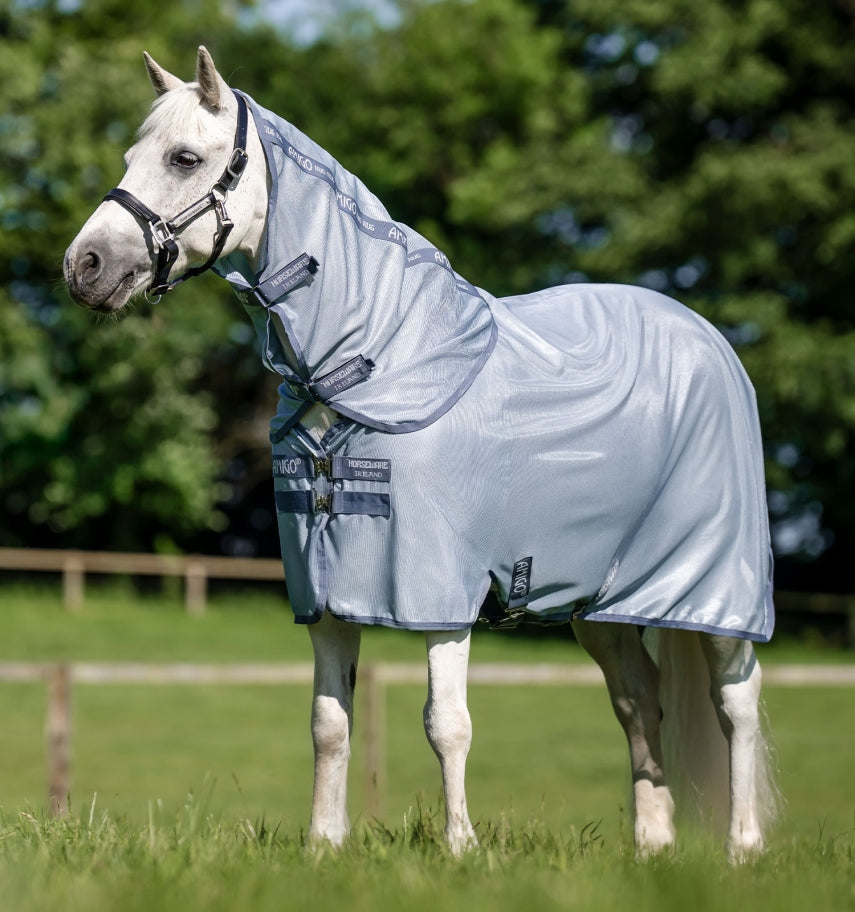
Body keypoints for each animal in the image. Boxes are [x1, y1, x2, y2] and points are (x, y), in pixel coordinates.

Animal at [64, 47, 779, 861]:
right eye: (131, 157)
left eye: (184, 157)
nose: (83, 266)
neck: (378, 359)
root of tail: (707, 338)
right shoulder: (324, 594)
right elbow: (329, 724)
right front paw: (324, 846)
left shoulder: (439, 592)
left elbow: (447, 725)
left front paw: (460, 849)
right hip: (601, 604)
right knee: (639, 704)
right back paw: (652, 847)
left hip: (716, 590)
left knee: (736, 704)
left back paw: (743, 849)